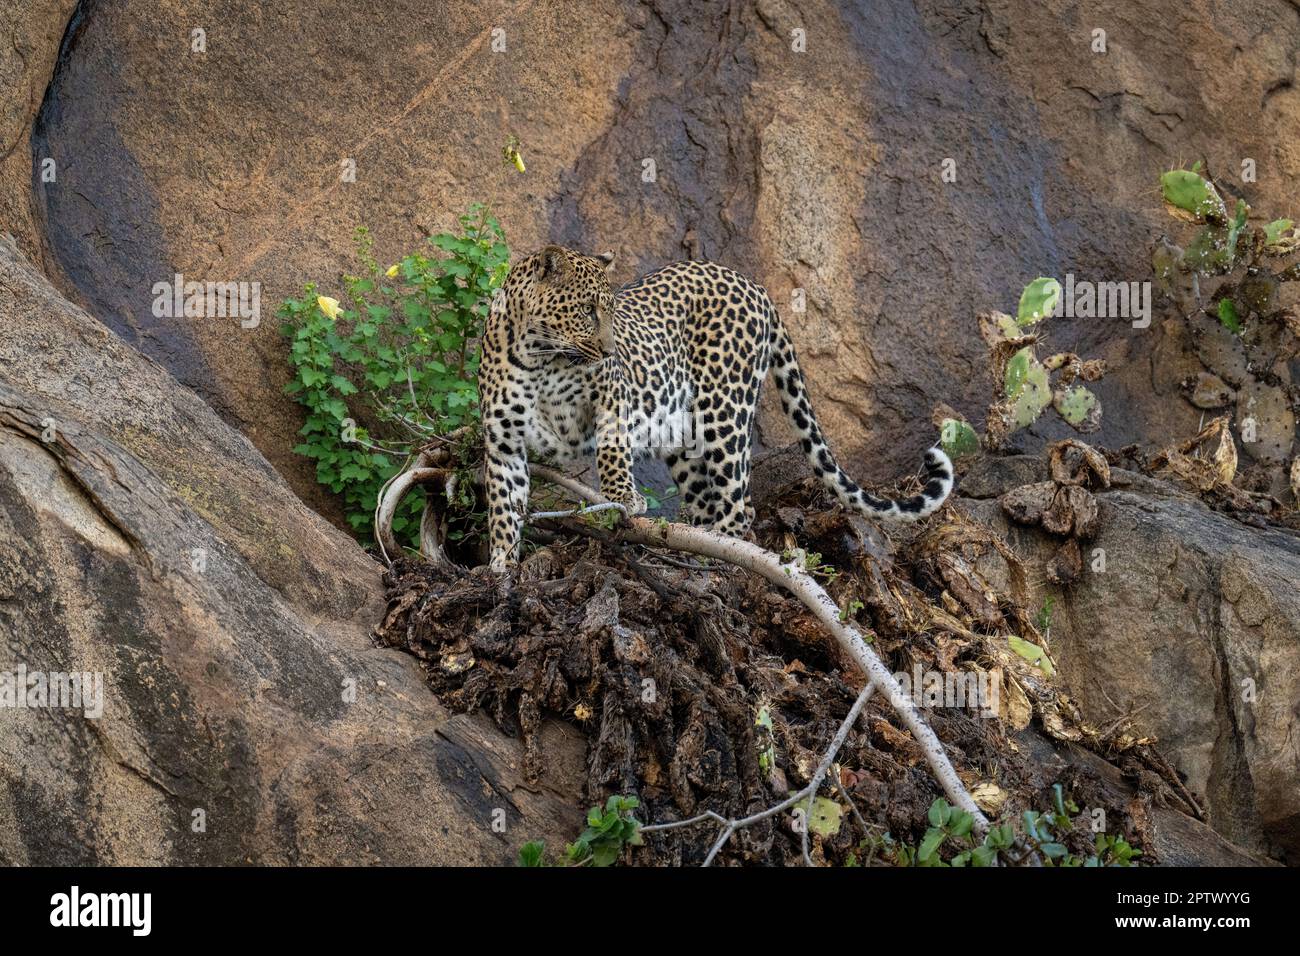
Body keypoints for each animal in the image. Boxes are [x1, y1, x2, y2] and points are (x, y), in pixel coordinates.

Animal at [479, 245, 954, 571]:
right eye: (585, 311)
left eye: (611, 311)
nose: (610, 350)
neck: (539, 357)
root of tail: (755, 285)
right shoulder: (503, 442)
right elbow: (503, 506)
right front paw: (501, 567)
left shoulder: (611, 395)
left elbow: (612, 453)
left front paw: (622, 500)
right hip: (682, 434)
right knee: (709, 496)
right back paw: (692, 535)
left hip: (725, 409)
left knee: (741, 506)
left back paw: (715, 550)